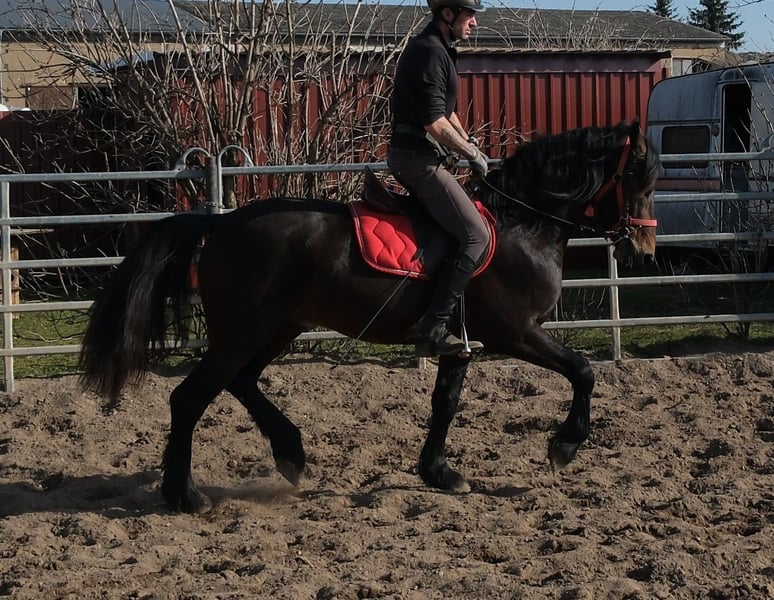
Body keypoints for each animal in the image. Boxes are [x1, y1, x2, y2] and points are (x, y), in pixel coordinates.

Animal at [79, 119, 659, 513]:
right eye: (637, 173)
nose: (644, 247)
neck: (521, 223)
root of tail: (220, 225)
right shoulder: (516, 333)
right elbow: (582, 371)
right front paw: (564, 446)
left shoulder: (461, 342)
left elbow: (446, 404)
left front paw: (439, 473)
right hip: (244, 334)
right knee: (190, 398)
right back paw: (186, 494)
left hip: (275, 329)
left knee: (242, 383)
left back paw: (289, 453)